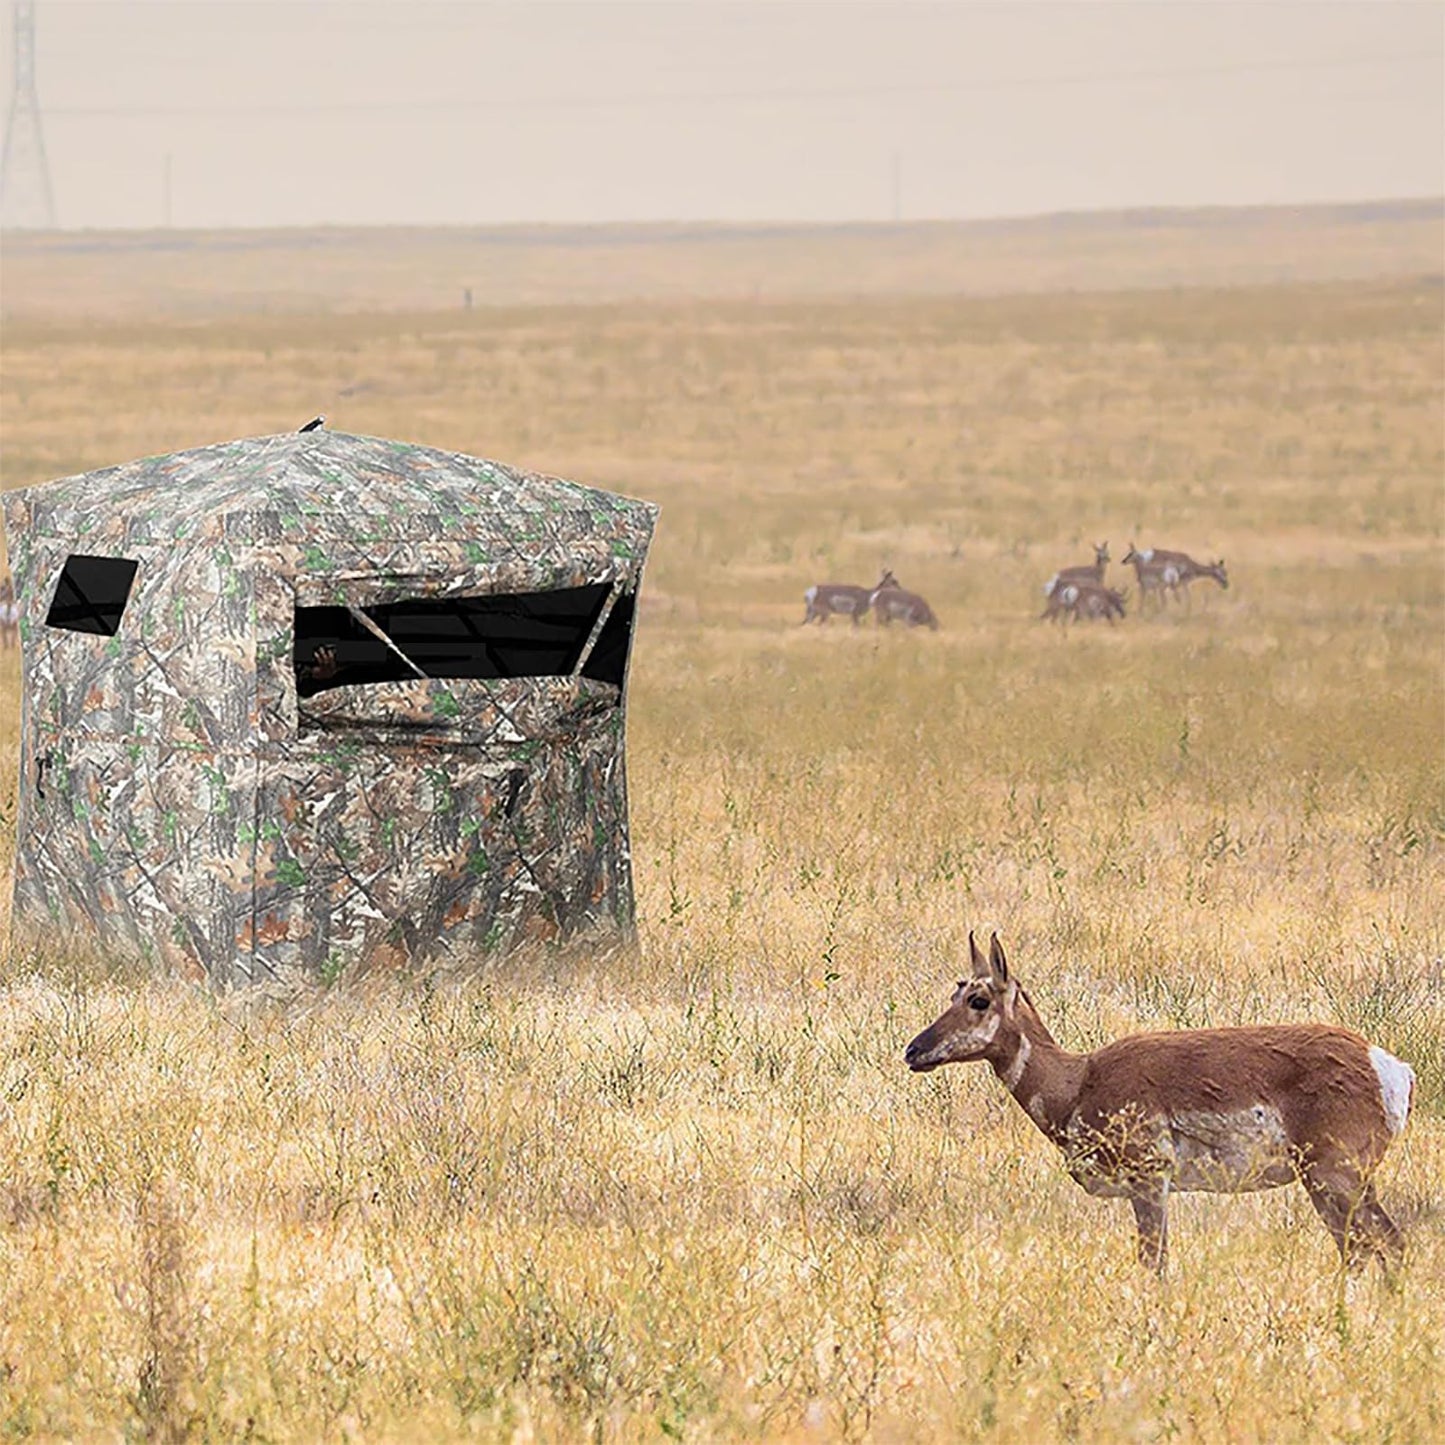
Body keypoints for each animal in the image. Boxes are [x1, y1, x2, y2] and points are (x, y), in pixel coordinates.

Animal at [905, 932, 1414, 1276]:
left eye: (978, 999)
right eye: (954, 991)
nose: (913, 1050)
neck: (1079, 1080)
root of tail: (1388, 1065)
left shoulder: (1149, 1180)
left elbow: (1153, 1263)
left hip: (1334, 1177)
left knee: (1381, 1244)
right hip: (1339, 1182)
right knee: (1371, 1247)